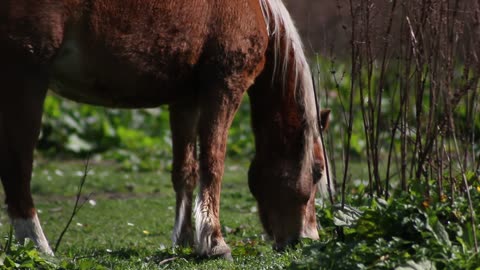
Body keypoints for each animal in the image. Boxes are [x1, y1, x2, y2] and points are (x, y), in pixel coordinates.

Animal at [0, 0, 330, 258]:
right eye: (317, 172)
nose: (307, 239)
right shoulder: (224, 88)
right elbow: (213, 163)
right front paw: (215, 243)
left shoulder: (185, 100)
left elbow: (186, 171)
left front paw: (185, 241)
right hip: (25, 78)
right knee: (18, 168)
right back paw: (40, 247)